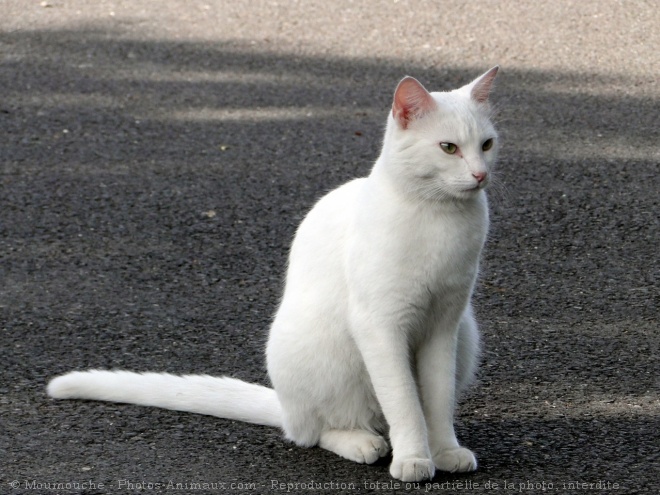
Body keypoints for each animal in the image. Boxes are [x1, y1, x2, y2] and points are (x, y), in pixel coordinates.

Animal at [47, 68, 500, 482]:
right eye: (448, 148)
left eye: (486, 145)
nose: (480, 174)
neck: (440, 218)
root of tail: (283, 406)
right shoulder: (381, 325)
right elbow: (405, 401)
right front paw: (414, 458)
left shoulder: (444, 325)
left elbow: (435, 400)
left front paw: (443, 451)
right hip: (322, 352)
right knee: (317, 431)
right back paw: (363, 442)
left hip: (466, 337)